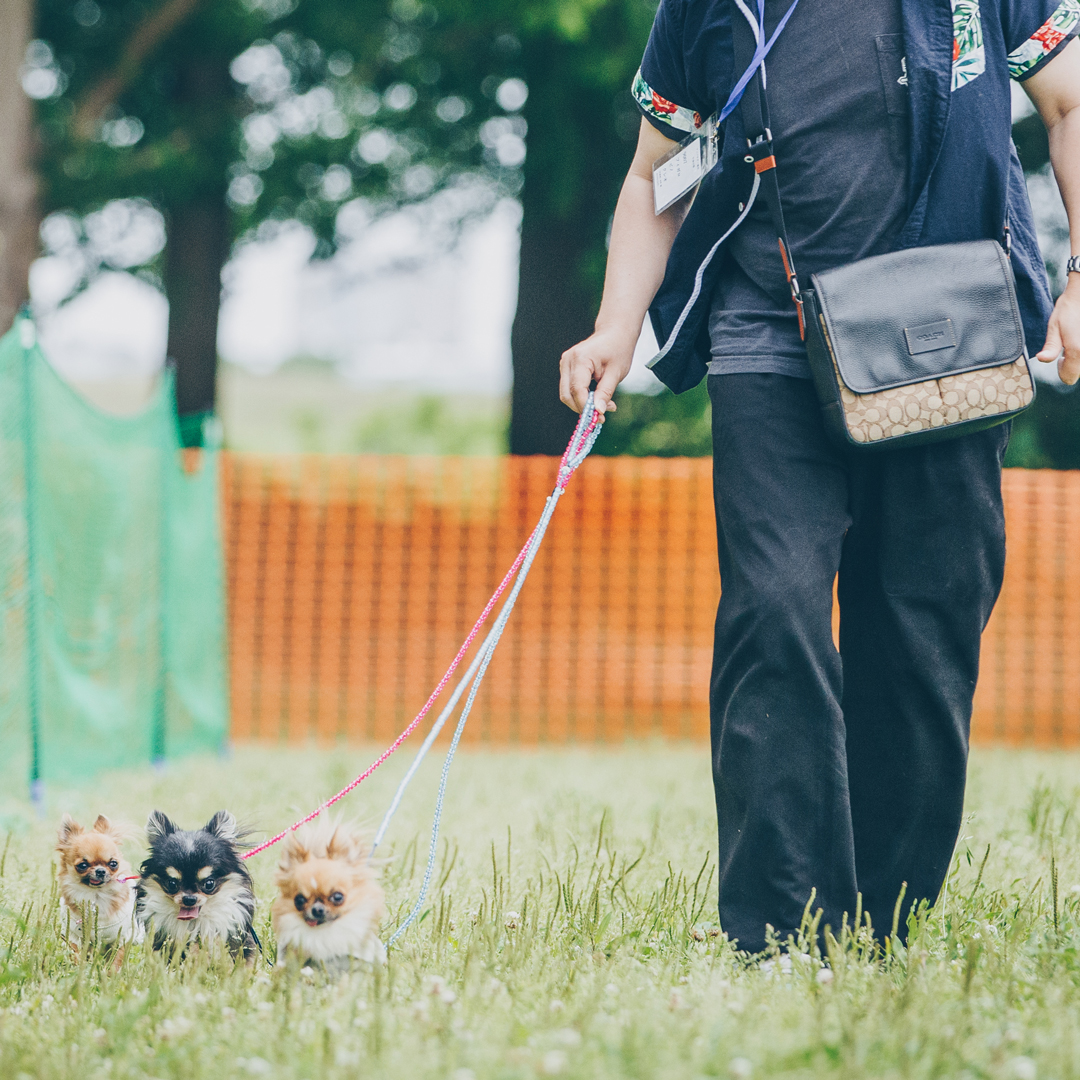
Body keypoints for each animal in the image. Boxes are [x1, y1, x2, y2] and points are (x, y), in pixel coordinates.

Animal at [55, 812, 141, 950]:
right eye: (83, 865)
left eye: (113, 863)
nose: (100, 871)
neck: (96, 896)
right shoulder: (75, 936)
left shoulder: (122, 937)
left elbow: (117, 955)